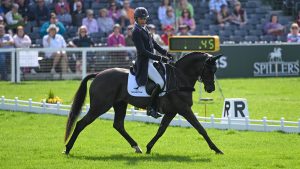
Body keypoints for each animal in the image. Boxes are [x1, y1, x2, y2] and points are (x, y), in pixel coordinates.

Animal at [64, 52, 224, 155]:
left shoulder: (172, 111)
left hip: (120, 104)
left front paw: (148, 147)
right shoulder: (184, 109)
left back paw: (137, 147)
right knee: (81, 123)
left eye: (215, 69)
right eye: (209, 69)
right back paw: (67, 149)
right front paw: (217, 149)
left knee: (118, 125)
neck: (179, 78)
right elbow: (200, 128)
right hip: (100, 106)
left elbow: (161, 130)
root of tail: (98, 75)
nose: (210, 89)